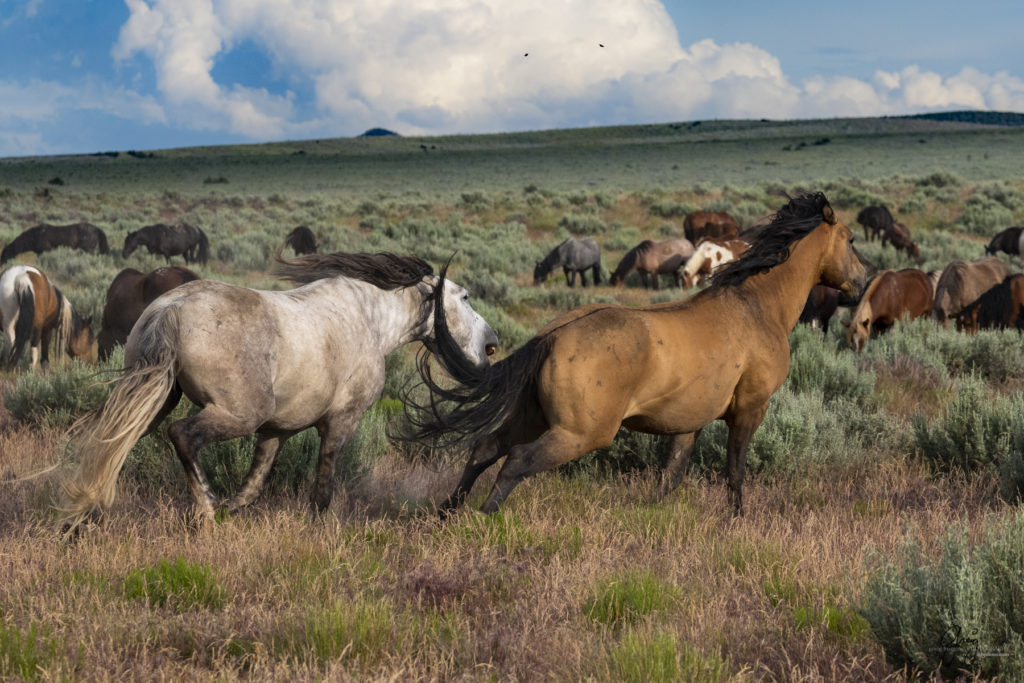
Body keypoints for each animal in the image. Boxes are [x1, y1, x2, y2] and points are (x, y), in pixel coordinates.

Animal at [59, 252, 499, 532]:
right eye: (464, 297)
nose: (493, 343)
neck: (370, 319)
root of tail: (168, 310)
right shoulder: (341, 422)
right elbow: (322, 488)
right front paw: (319, 531)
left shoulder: (276, 432)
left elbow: (252, 488)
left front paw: (232, 511)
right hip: (237, 413)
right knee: (182, 435)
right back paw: (205, 508)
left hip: (153, 400)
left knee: (111, 444)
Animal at [407, 191, 864, 511]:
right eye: (851, 239)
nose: (861, 282)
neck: (756, 305)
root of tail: (551, 337)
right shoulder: (751, 407)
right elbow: (734, 471)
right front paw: (737, 519)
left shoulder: (689, 422)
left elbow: (670, 478)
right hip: (580, 433)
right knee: (516, 461)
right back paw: (485, 516)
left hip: (531, 416)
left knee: (485, 448)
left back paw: (448, 512)